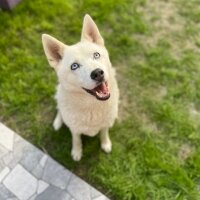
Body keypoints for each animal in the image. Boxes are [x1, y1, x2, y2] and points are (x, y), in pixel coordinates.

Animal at [41, 14, 118, 161]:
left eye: (96, 55)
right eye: (74, 66)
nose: (97, 73)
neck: (92, 107)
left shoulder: (106, 123)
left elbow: (104, 132)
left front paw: (105, 143)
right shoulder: (75, 129)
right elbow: (76, 139)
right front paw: (77, 152)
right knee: (59, 109)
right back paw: (58, 122)